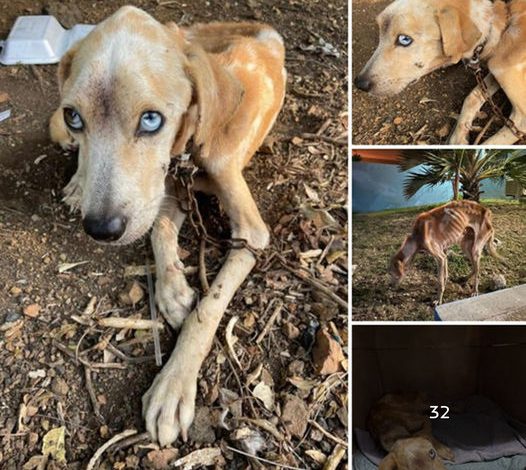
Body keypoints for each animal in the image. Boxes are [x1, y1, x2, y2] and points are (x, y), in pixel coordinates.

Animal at [49, 5, 286, 446]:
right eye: (74, 116)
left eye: (151, 120)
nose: (101, 229)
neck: (190, 147)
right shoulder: (165, 191)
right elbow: (159, 229)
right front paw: (173, 291)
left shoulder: (251, 233)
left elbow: (208, 307)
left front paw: (173, 385)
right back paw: (77, 183)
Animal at [354, 0, 526, 145]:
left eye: (404, 39)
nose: (359, 83)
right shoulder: (493, 69)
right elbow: (473, 95)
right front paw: (459, 137)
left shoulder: (521, 118)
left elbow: (490, 143)